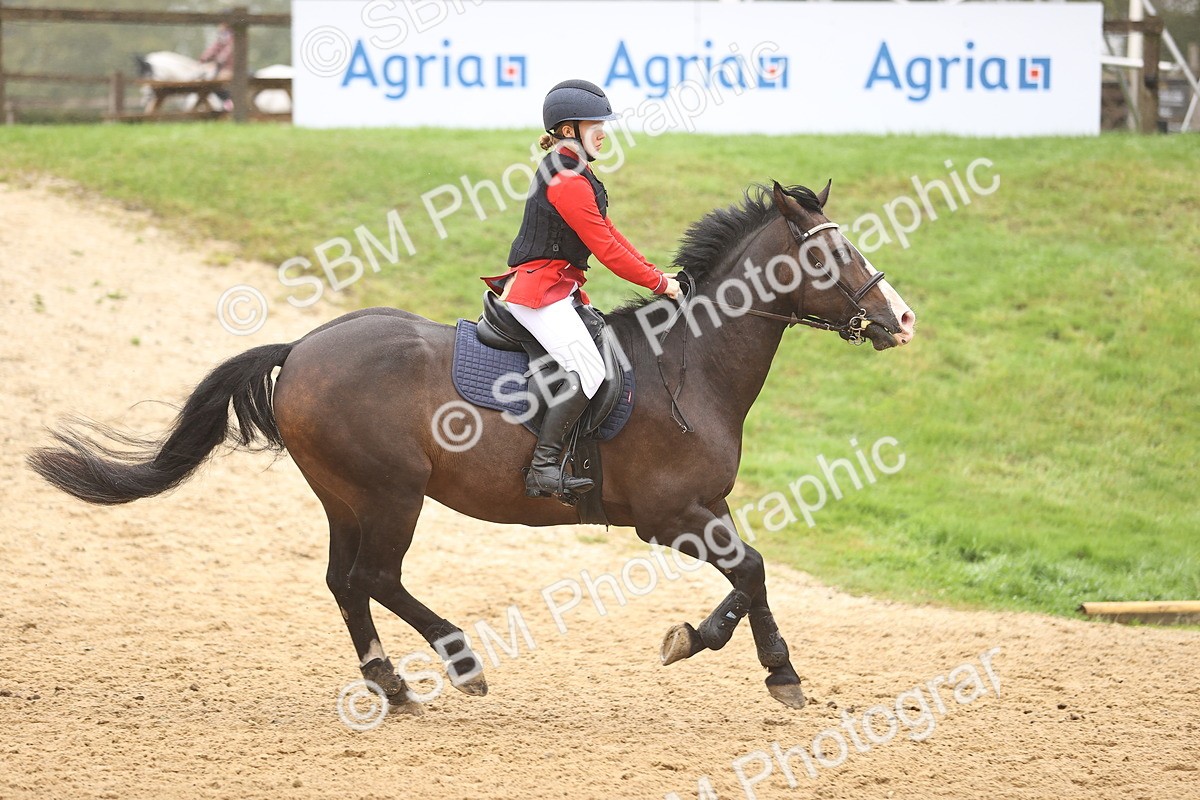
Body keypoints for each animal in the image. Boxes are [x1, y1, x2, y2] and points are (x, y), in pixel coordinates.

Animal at [28, 181, 916, 716]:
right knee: (375, 577)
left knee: (345, 583)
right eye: (831, 255)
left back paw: (391, 685)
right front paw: (754, 662)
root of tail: (304, 347)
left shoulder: (707, 505)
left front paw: (739, 654)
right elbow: (753, 569)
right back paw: (458, 662)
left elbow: (751, 574)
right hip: (390, 493)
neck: (689, 361)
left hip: (346, 496)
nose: (901, 319)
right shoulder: (667, 515)